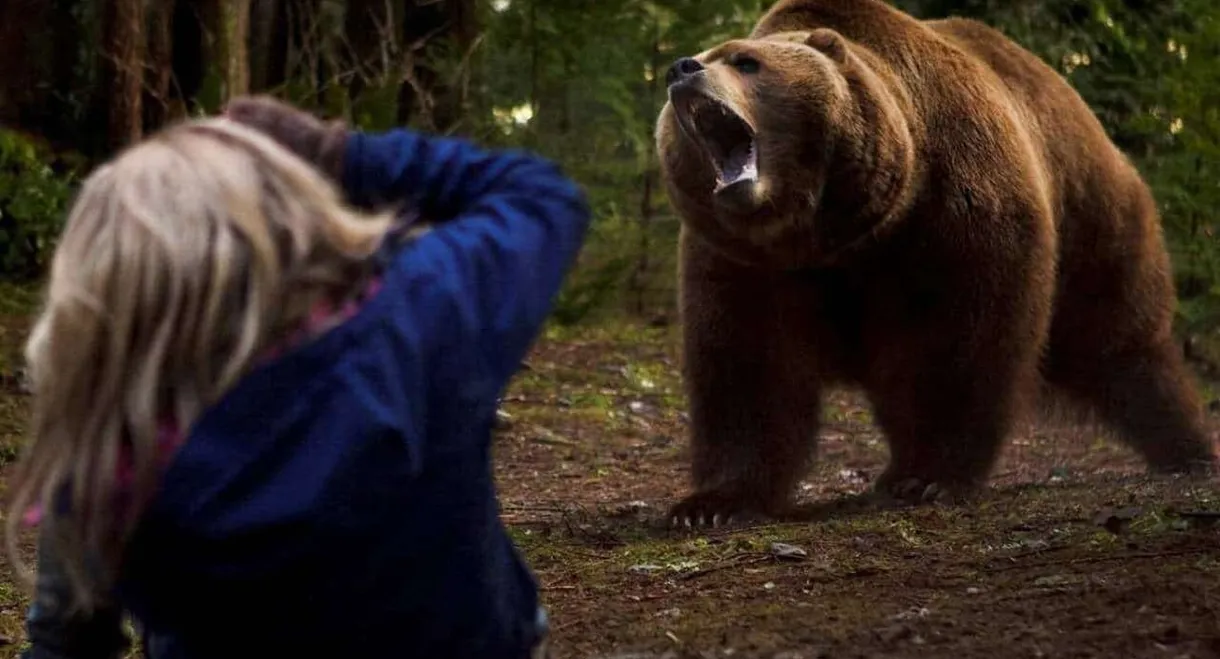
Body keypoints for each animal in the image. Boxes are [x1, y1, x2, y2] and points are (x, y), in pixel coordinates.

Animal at [654, 0, 1218, 527]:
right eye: (707, 55)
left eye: (745, 61)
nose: (681, 69)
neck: (830, 232)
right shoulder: (744, 262)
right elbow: (748, 368)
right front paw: (711, 503)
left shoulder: (952, 212)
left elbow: (956, 344)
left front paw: (926, 477)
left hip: (1093, 215)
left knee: (1122, 341)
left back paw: (1186, 448)